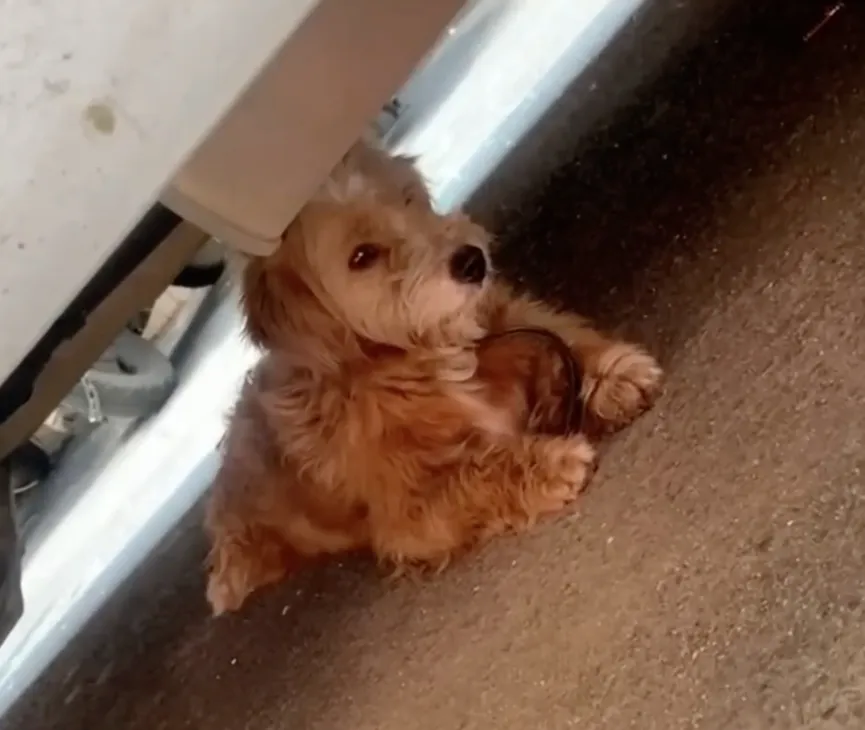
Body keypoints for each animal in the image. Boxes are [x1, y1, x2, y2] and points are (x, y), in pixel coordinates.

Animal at [204, 139, 660, 612]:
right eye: (362, 256)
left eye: (406, 199)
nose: (472, 261)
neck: (422, 352)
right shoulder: (410, 514)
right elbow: (474, 474)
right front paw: (549, 463)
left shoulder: (503, 315)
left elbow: (555, 327)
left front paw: (612, 375)